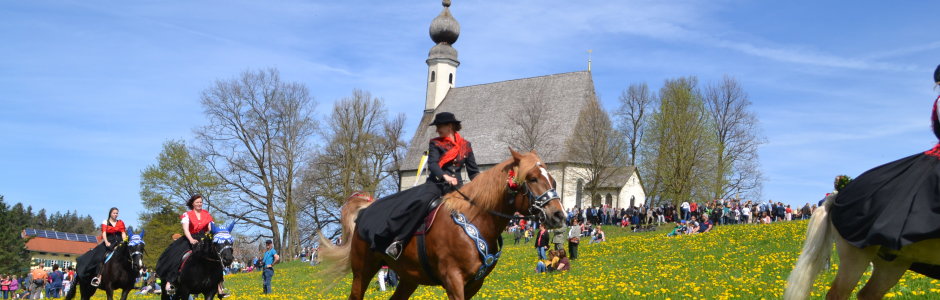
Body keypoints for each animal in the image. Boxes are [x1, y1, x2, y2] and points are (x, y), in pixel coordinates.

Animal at [316, 149, 564, 298]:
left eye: (552, 179)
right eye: (532, 178)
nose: (559, 215)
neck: (475, 221)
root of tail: (366, 211)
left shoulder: (474, 284)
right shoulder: (453, 280)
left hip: (408, 278)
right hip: (363, 272)